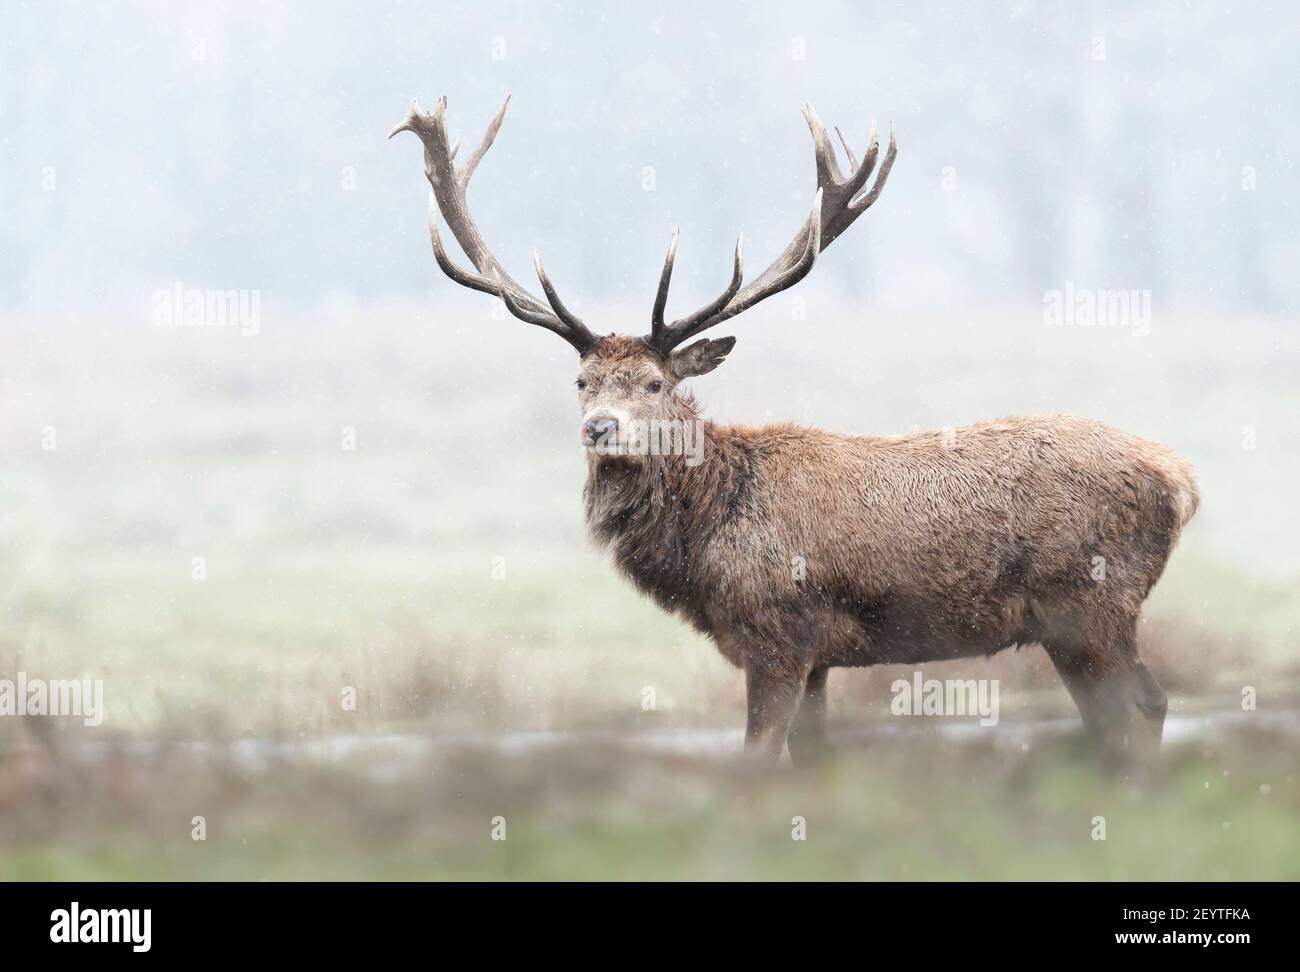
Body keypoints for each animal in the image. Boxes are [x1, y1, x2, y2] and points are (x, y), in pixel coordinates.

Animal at [390, 94, 1201, 769]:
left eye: (654, 383)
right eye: (582, 381)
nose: (599, 429)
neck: (707, 540)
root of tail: (1182, 481)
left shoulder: (779, 634)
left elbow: (755, 758)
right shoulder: (818, 659)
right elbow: (811, 758)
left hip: (1096, 602)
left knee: (1147, 702)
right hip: (1073, 625)